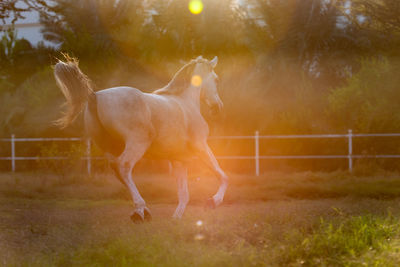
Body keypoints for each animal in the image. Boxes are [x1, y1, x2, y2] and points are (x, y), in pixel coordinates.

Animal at [54, 55, 228, 223]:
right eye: (216, 79)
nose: (218, 107)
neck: (186, 103)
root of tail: (95, 96)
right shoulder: (201, 147)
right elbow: (222, 175)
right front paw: (213, 202)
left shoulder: (179, 159)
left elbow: (184, 193)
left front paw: (176, 218)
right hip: (137, 143)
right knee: (124, 166)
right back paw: (139, 211)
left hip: (110, 148)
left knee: (117, 171)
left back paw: (145, 211)